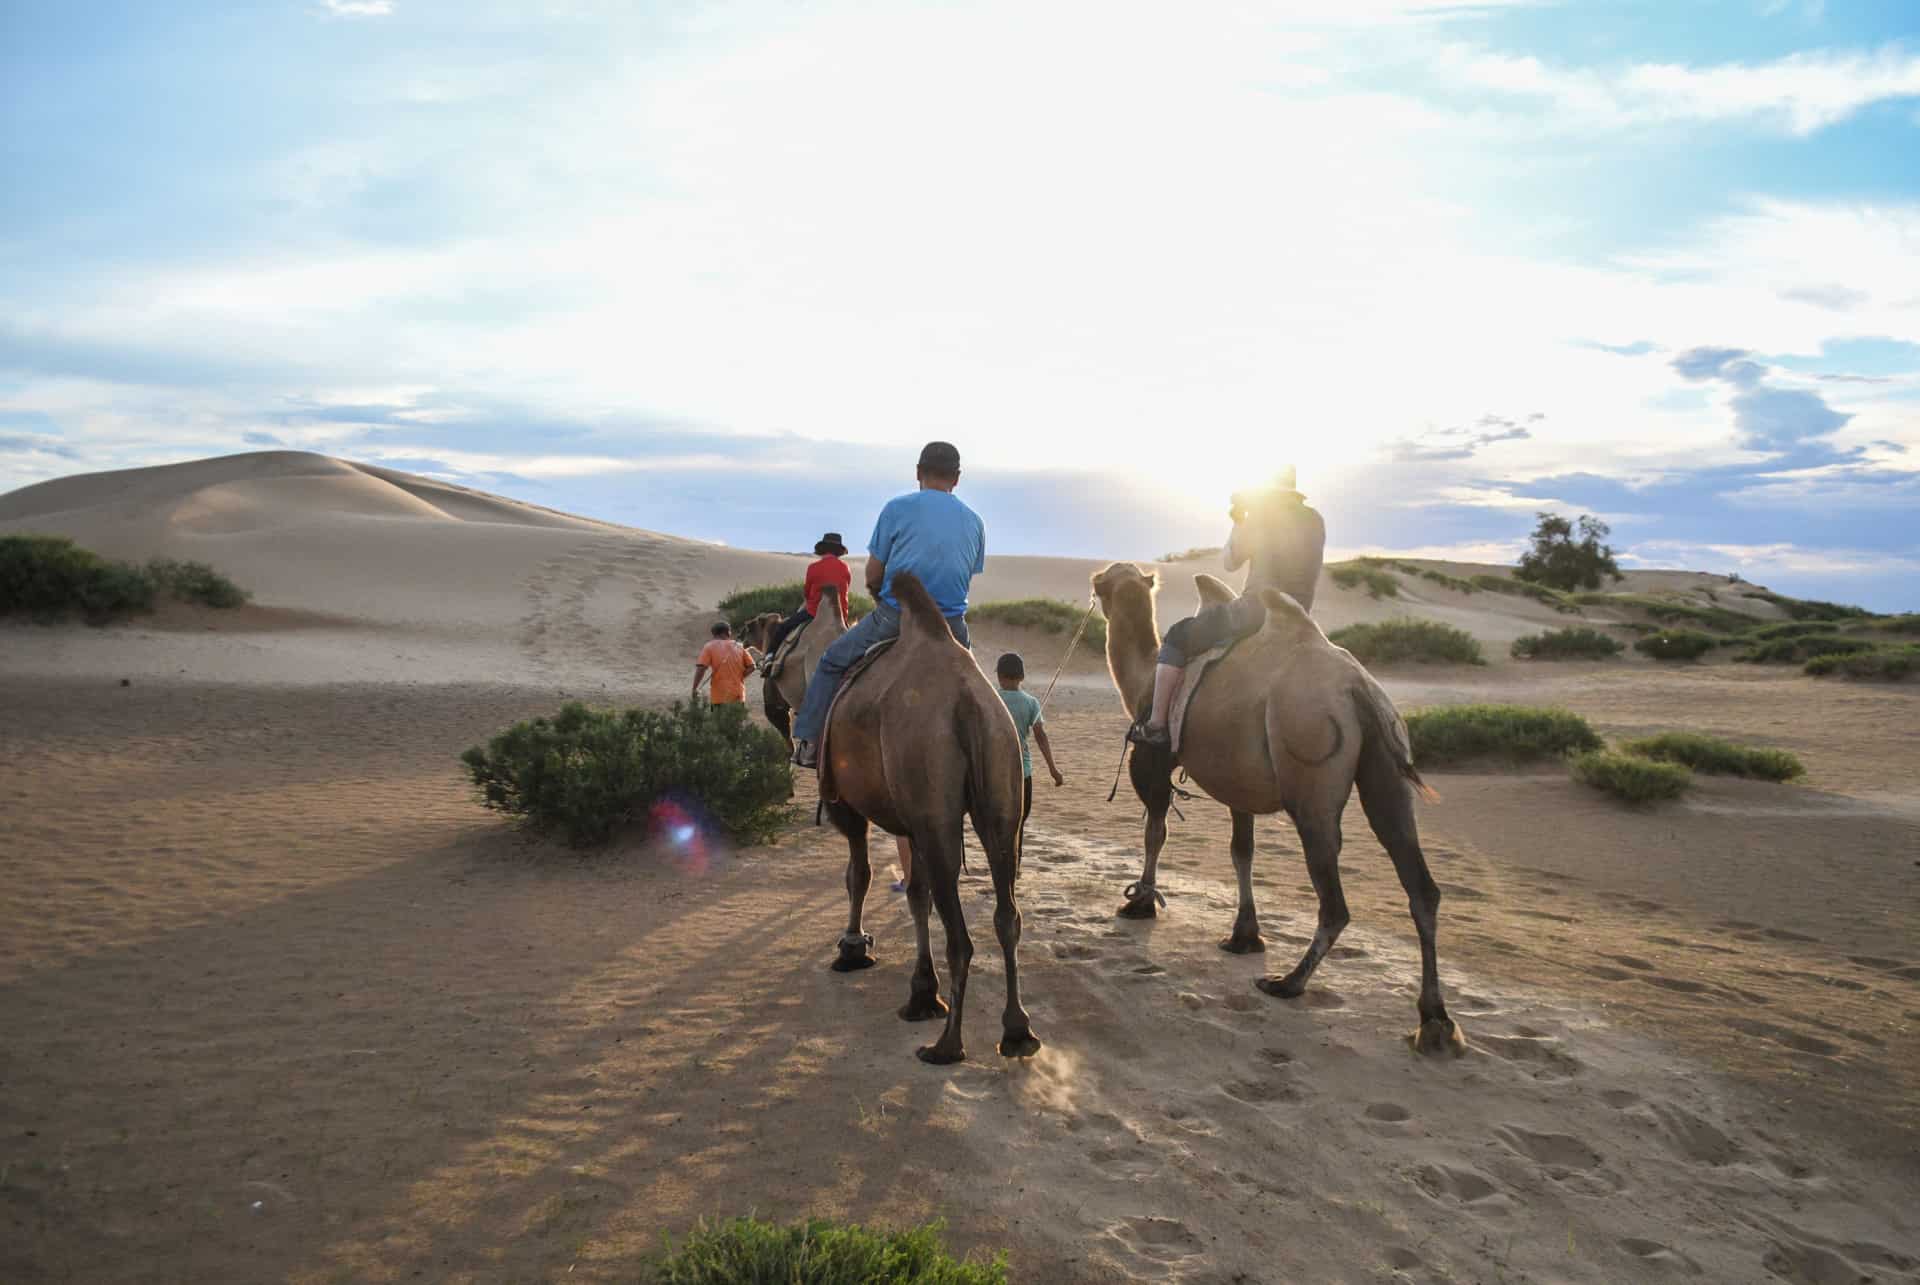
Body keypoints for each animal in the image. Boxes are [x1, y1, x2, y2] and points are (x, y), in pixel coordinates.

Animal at [817, 572, 1044, 1060]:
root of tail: (969, 703)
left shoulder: (848, 805)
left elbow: (858, 873)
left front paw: (852, 949)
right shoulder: (911, 821)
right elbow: (915, 892)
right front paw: (922, 992)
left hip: (934, 801)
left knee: (960, 934)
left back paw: (947, 1046)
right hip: (1001, 786)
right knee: (1007, 914)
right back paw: (1017, 1031)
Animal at [1098, 560, 1451, 1052]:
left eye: (1108, 578)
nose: (1094, 583)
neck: (1143, 675)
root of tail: (1357, 687)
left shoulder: (1152, 760)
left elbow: (1156, 832)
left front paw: (1141, 903)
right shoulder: (1238, 781)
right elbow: (1241, 851)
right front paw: (1244, 936)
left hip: (1310, 767)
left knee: (1334, 899)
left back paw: (1289, 982)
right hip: (1388, 767)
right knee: (1419, 882)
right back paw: (1434, 1020)